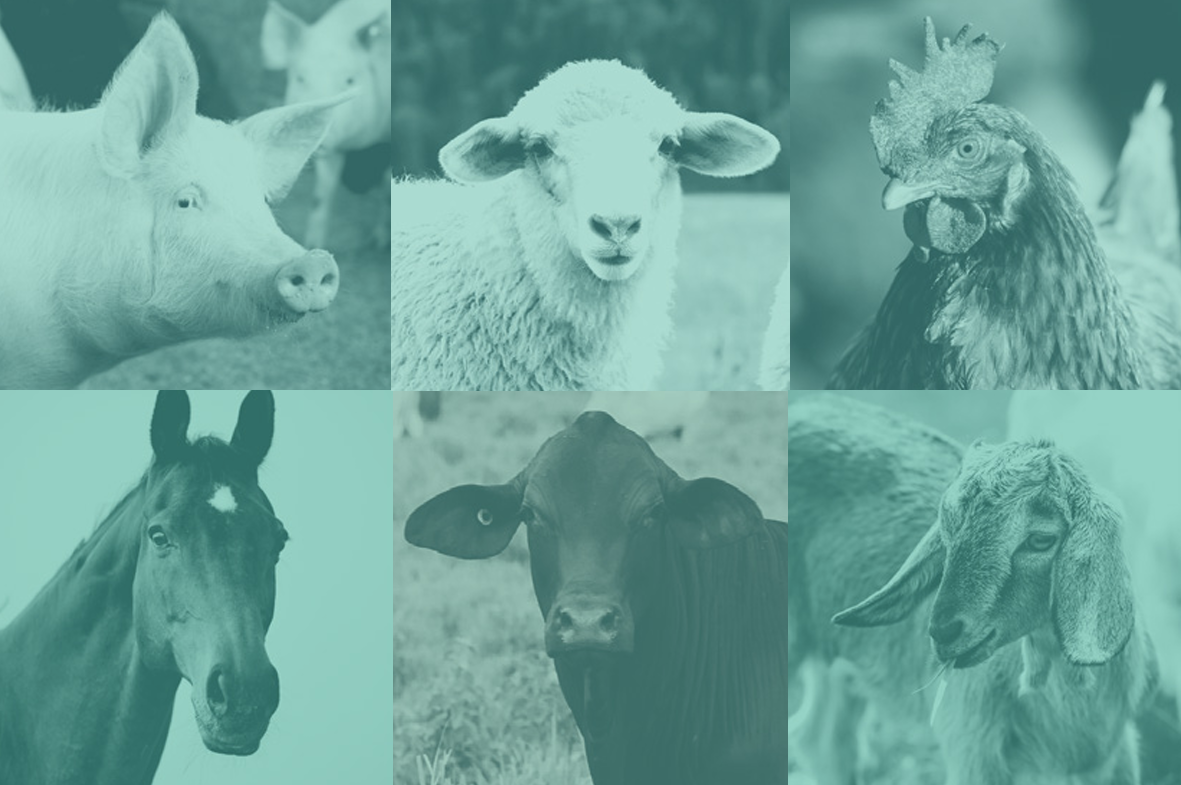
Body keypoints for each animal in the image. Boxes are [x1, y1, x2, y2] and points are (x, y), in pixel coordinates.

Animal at [788, 394, 1152, 785]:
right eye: (948, 530)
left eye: (1041, 539)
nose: (944, 631)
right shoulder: (972, 751)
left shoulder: (1114, 758)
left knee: (821, 738)